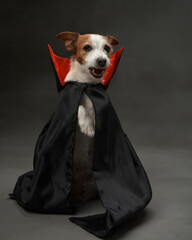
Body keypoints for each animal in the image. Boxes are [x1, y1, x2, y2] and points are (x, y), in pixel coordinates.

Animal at [56, 31, 118, 201]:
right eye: (87, 48)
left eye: (107, 48)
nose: (102, 60)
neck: (86, 84)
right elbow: (79, 108)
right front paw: (86, 125)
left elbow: (94, 112)